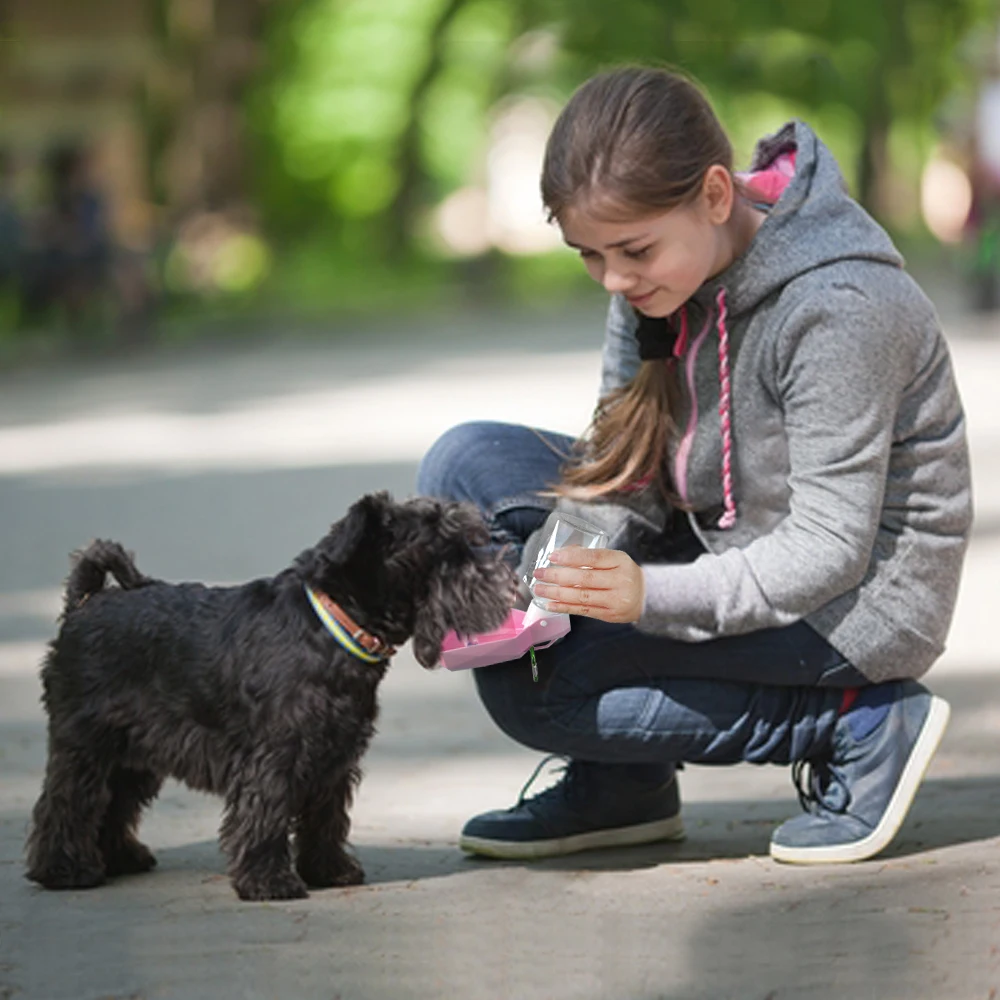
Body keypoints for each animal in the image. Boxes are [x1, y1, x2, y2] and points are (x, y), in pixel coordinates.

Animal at [27, 496, 512, 904]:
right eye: (444, 545)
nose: (502, 572)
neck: (332, 626)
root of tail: (85, 603)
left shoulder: (334, 756)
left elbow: (325, 819)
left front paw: (329, 870)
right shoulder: (277, 756)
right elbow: (267, 814)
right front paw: (269, 882)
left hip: (133, 756)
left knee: (114, 803)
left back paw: (120, 858)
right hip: (87, 745)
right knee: (68, 802)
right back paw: (66, 870)